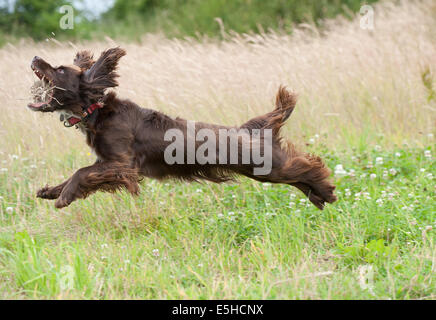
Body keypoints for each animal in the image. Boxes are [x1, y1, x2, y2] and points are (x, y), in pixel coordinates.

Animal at [29, 47, 338, 208]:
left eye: (59, 70)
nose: (33, 57)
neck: (95, 111)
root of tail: (249, 129)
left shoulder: (122, 163)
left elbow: (81, 173)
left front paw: (64, 197)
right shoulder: (106, 162)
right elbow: (78, 174)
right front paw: (50, 191)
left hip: (265, 166)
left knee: (306, 165)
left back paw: (326, 191)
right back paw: (318, 196)